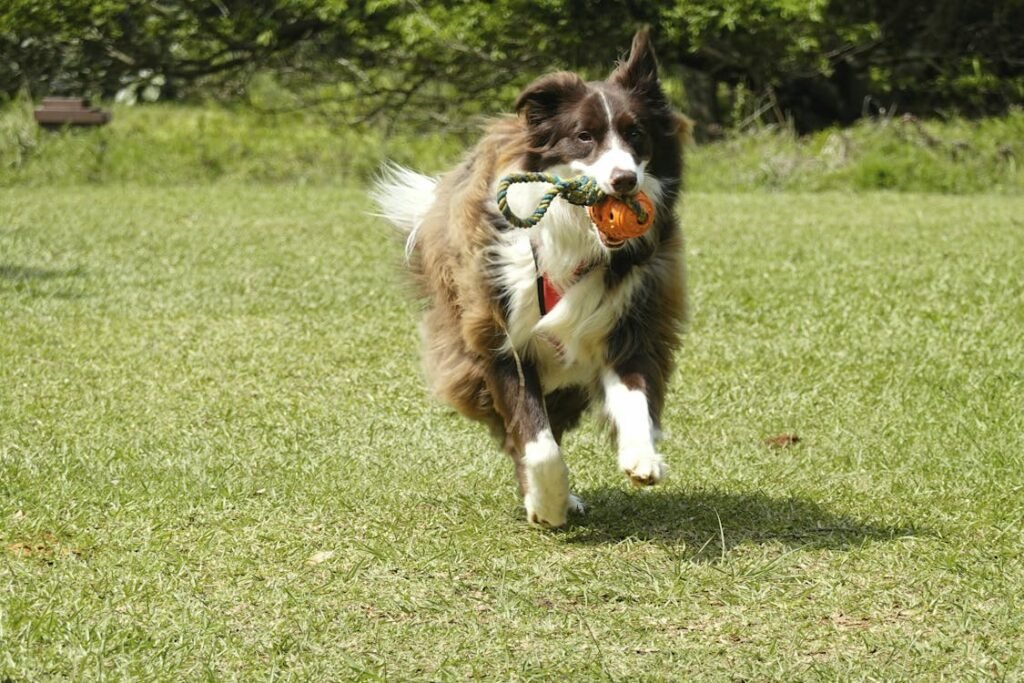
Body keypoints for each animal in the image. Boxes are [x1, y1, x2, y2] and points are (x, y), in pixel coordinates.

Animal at [376, 28, 688, 528]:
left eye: (636, 133)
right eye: (584, 136)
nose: (624, 180)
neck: (574, 236)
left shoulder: (629, 315)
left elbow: (635, 392)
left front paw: (641, 456)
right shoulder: (498, 332)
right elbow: (535, 441)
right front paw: (548, 503)